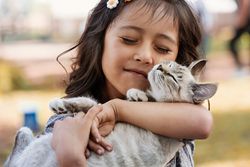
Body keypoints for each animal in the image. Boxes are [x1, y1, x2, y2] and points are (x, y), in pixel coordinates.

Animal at [4, 59, 218, 167]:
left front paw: (136, 95)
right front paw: (60, 104)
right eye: (169, 63)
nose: (159, 67)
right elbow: (89, 102)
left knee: (18, 147)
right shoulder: (98, 106)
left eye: (172, 77)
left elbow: (96, 102)